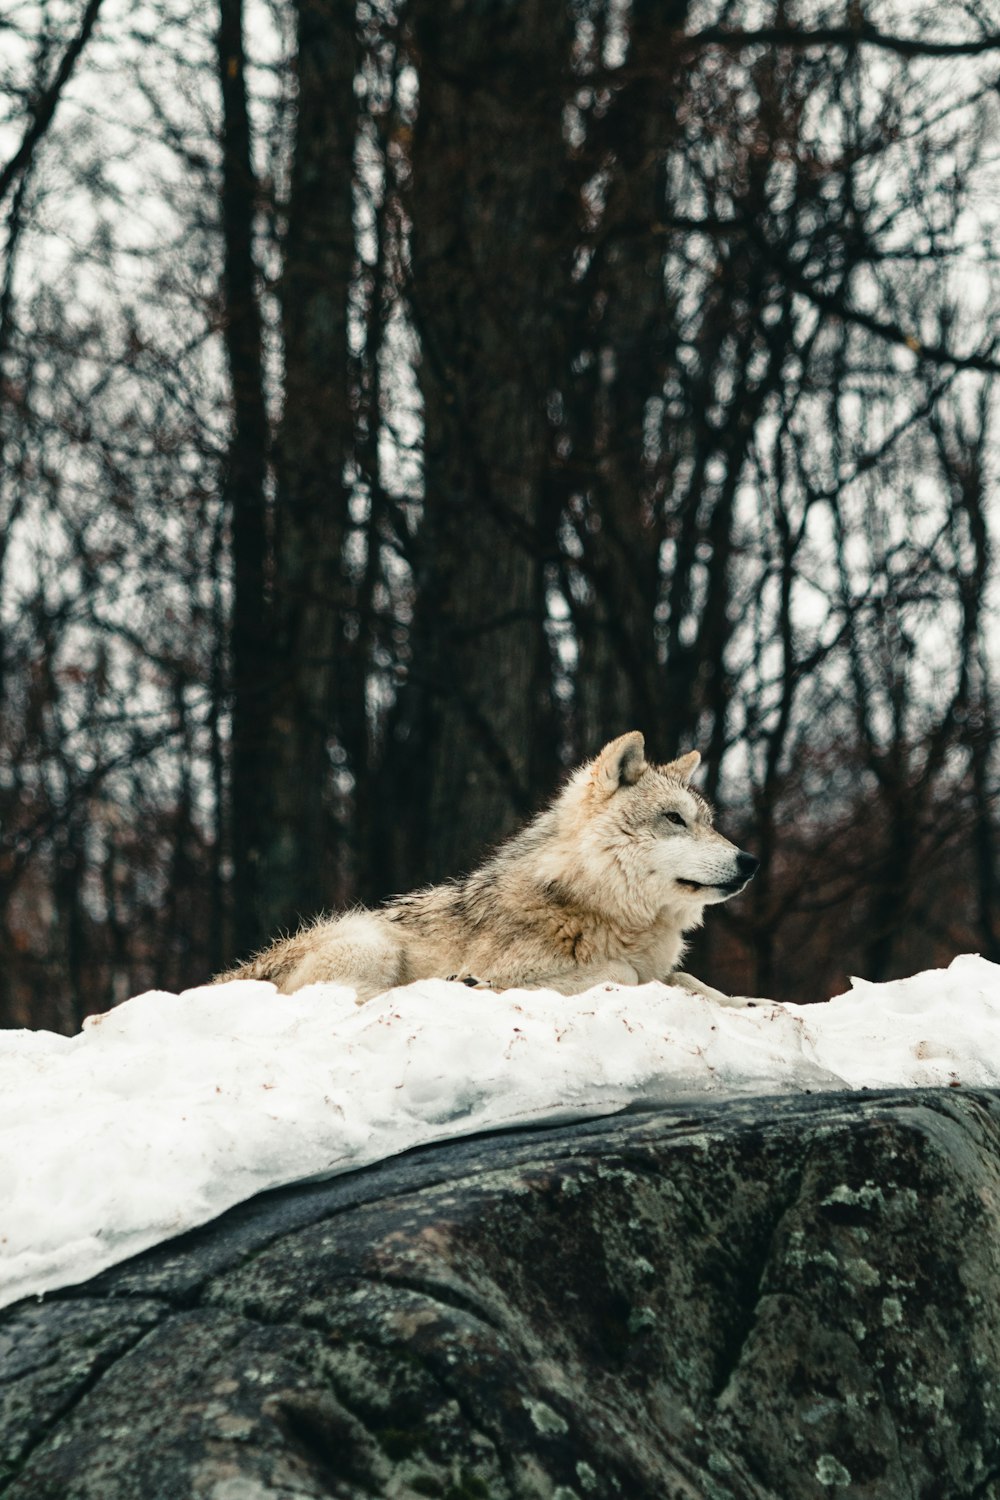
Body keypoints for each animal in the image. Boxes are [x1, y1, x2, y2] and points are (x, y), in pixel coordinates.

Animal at [212, 729, 758, 1008]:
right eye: (674, 819)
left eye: (708, 823)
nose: (750, 862)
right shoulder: (532, 968)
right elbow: (622, 974)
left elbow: (692, 982)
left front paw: (751, 1004)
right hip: (369, 940)